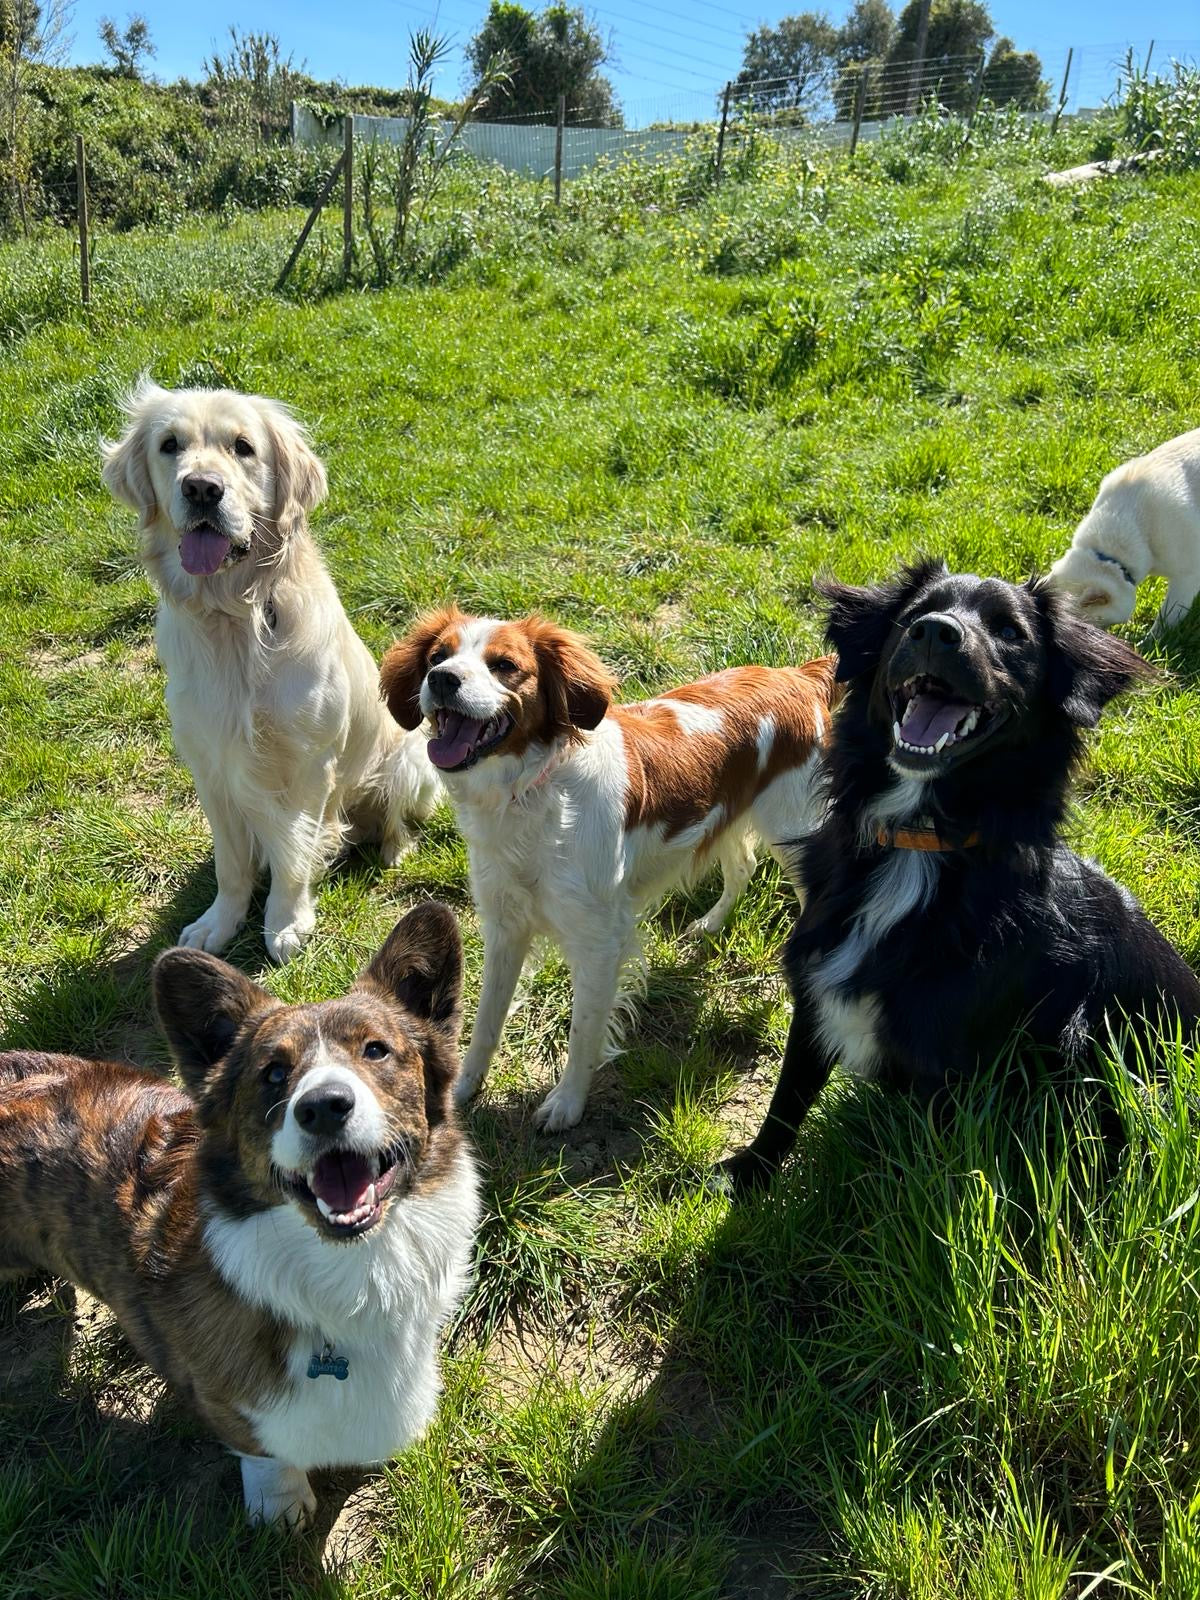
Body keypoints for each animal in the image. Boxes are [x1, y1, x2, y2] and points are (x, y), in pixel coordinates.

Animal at [102, 380, 441, 960]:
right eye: (170, 445)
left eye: (243, 447)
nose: (201, 489)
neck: (235, 616)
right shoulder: (211, 765)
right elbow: (231, 863)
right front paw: (219, 922)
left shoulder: (308, 762)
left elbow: (294, 851)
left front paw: (286, 920)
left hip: (410, 758)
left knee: (396, 818)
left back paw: (392, 848)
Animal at [723, 563, 1200, 1190]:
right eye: (914, 614)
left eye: (1010, 632)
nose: (933, 632)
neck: (918, 842)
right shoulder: (815, 985)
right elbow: (788, 1096)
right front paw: (748, 1174)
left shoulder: (947, 1073)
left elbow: (928, 1179)